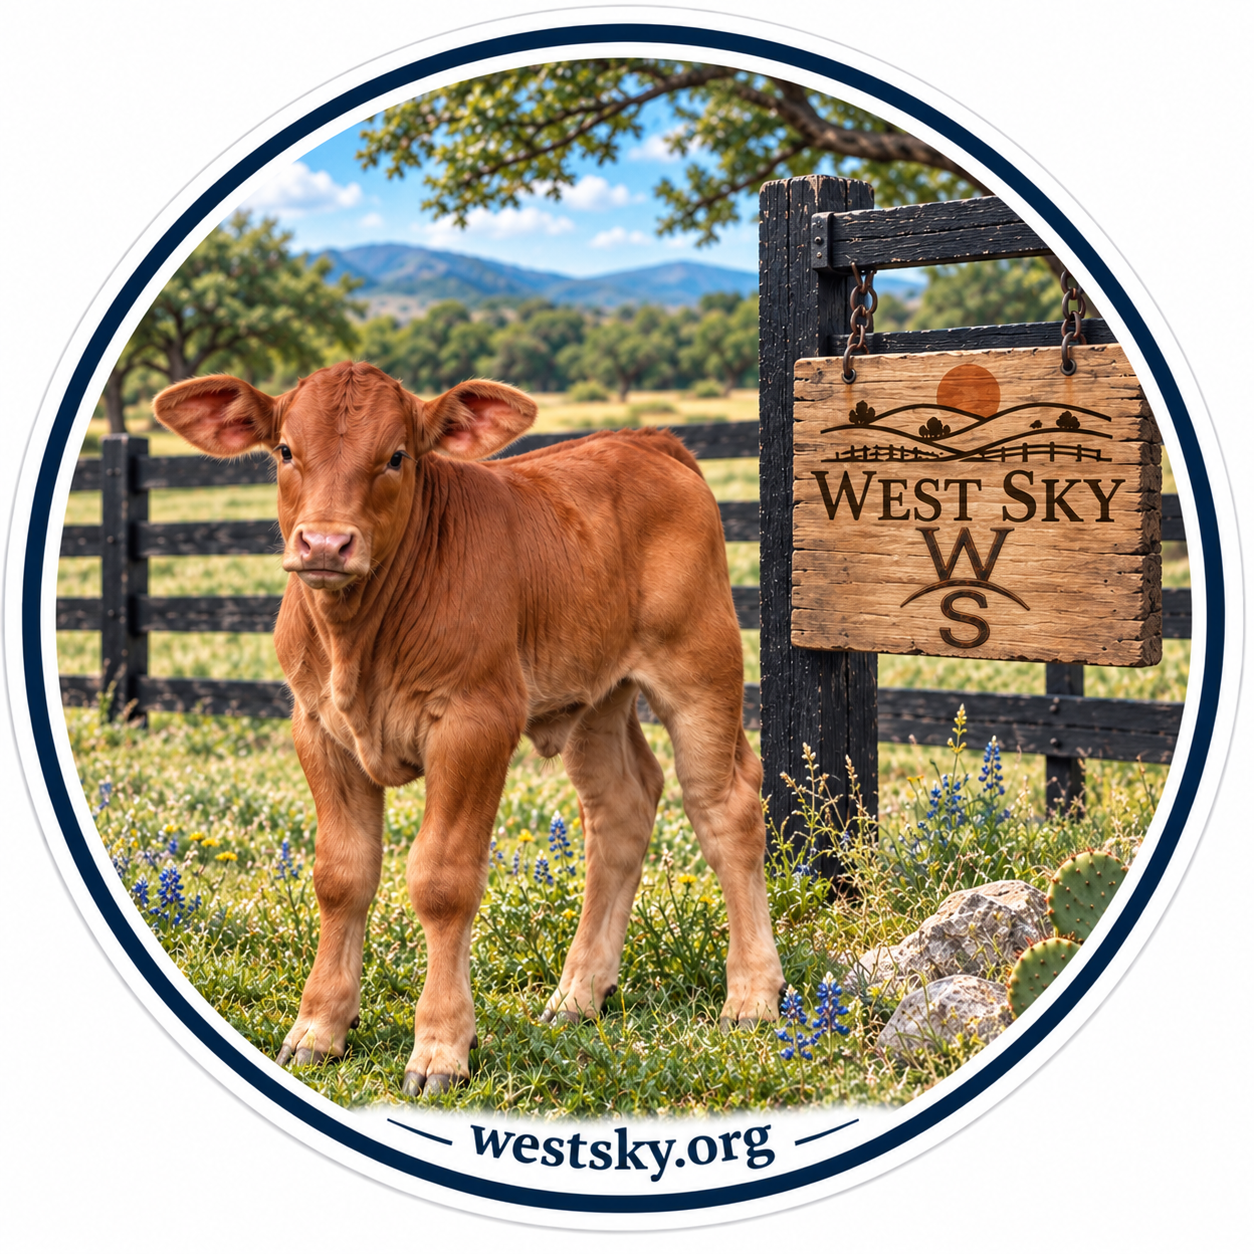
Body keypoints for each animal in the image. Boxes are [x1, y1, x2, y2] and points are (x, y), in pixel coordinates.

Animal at [153, 361, 785, 1097]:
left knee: (726, 809)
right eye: (285, 450)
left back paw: (751, 995)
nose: (325, 543)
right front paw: (319, 1029)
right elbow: (341, 876)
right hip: (597, 699)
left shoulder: (475, 724)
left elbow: (442, 881)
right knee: (621, 811)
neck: (358, 638)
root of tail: (645, 440)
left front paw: (440, 1046)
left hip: (701, 671)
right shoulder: (318, 729)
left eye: (397, 456)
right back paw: (578, 994)